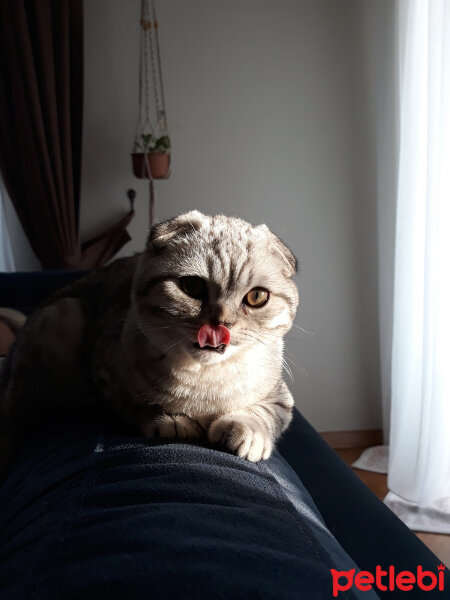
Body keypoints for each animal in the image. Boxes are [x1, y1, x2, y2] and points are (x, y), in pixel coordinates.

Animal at [0, 211, 298, 464]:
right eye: (192, 286)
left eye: (257, 297)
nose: (220, 323)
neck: (204, 379)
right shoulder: (105, 371)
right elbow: (135, 405)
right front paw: (171, 420)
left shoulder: (281, 395)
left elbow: (266, 413)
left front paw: (247, 431)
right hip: (62, 318)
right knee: (14, 412)